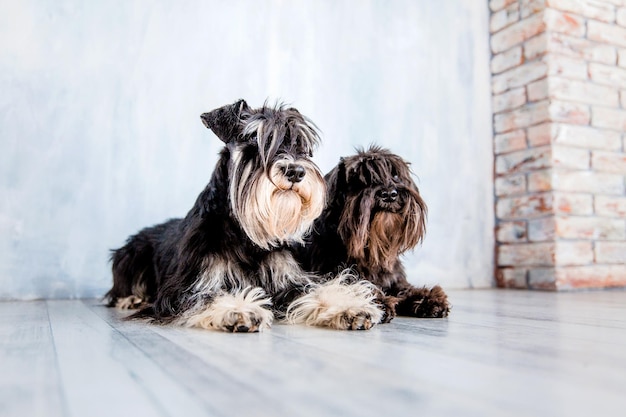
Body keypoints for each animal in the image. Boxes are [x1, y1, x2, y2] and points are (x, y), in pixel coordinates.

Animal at [106, 99, 380, 330]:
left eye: (300, 145)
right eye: (254, 141)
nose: (296, 171)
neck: (245, 235)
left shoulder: (287, 279)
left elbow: (315, 290)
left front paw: (348, 307)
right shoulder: (188, 286)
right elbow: (208, 296)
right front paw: (238, 310)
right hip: (131, 255)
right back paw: (130, 299)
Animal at [298, 146, 448, 322]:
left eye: (395, 175)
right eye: (359, 180)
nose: (389, 194)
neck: (370, 251)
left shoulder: (395, 280)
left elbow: (405, 289)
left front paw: (430, 299)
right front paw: (376, 302)